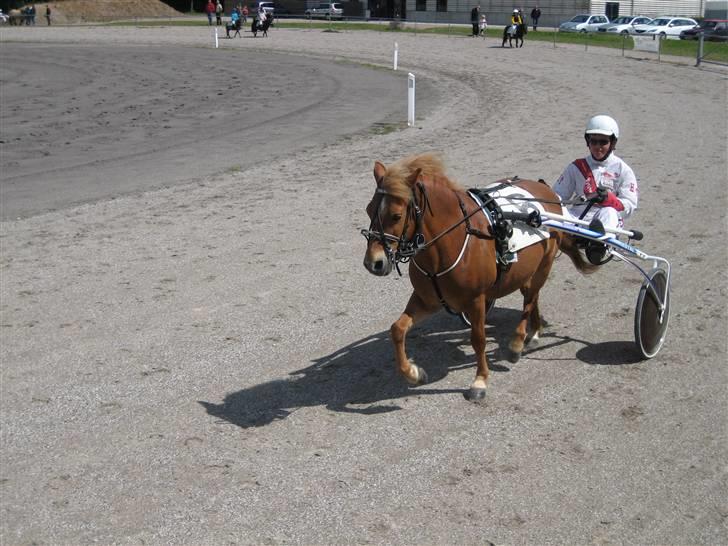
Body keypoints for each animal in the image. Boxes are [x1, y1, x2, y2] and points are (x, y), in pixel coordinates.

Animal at [362, 153, 596, 400]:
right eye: (369, 209)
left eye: (396, 216)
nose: (373, 263)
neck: (451, 241)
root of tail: (548, 191)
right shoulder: (427, 299)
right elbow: (397, 329)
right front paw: (413, 373)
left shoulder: (476, 300)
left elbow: (478, 339)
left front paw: (480, 380)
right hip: (528, 271)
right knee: (532, 296)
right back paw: (534, 333)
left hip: (545, 264)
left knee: (530, 300)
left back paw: (518, 342)